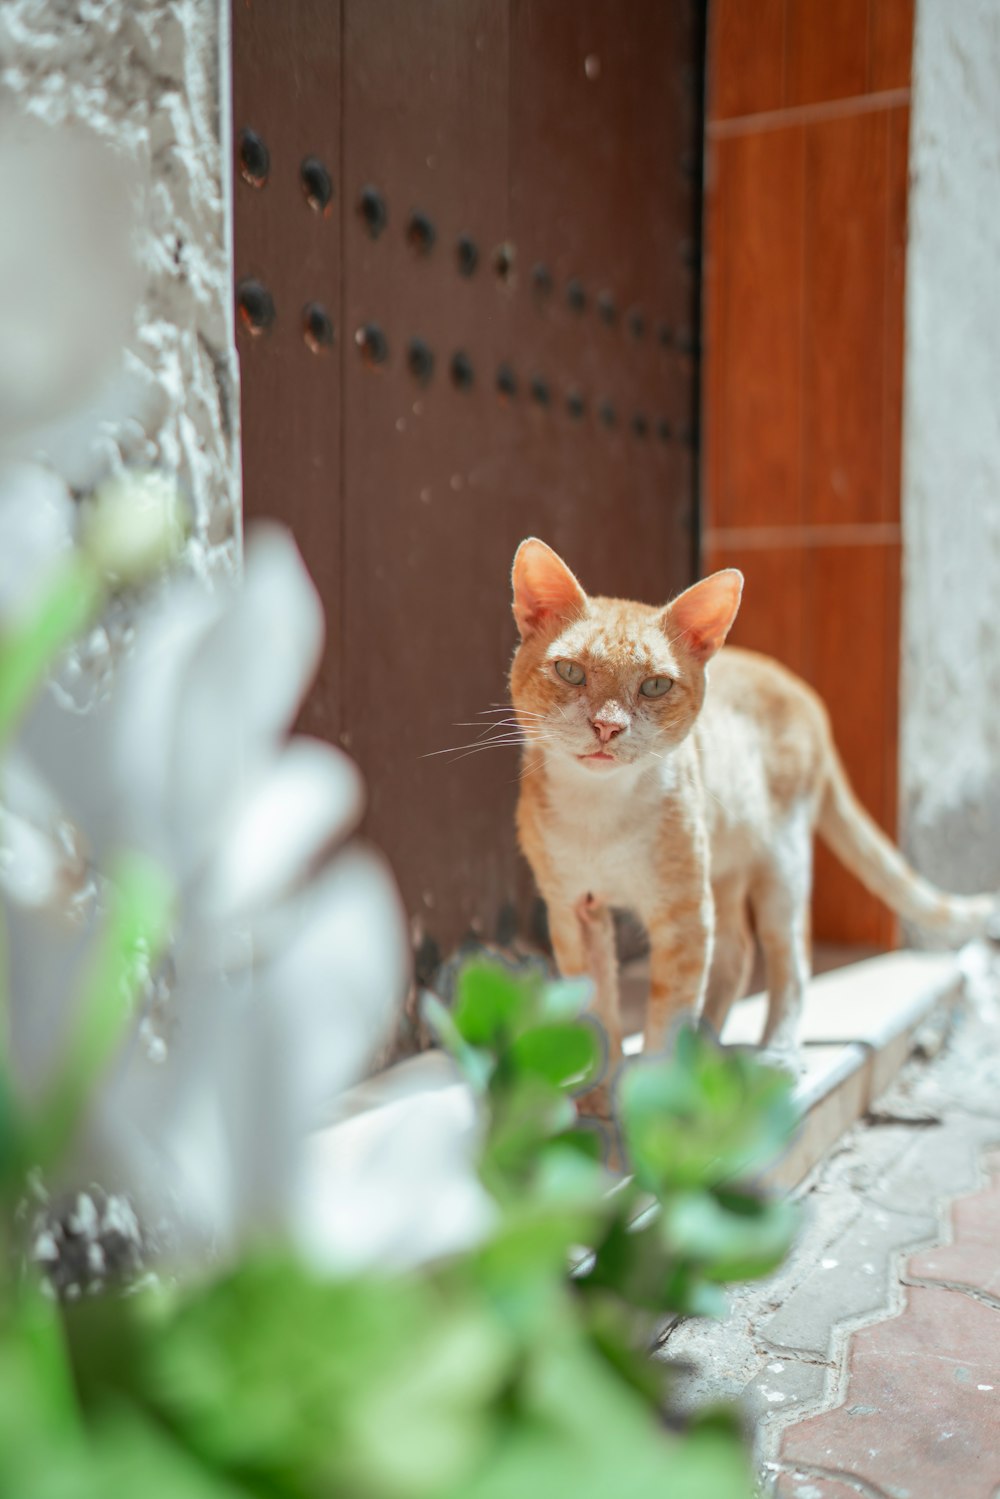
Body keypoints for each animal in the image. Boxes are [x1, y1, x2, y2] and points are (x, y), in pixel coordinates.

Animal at [512, 539, 995, 1067]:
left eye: (655, 685)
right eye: (570, 671)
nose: (607, 727)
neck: (599, 811)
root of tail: (801, 691)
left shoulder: (683, 915)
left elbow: (668, 1015)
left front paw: (653, 1084)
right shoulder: (573, 912)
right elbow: (598, 1016)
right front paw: (599, 1089)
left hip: (782, 867)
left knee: (791, 955)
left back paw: (776, 1053)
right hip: (723, 873)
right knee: (737, 955)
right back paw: (703, 1051)